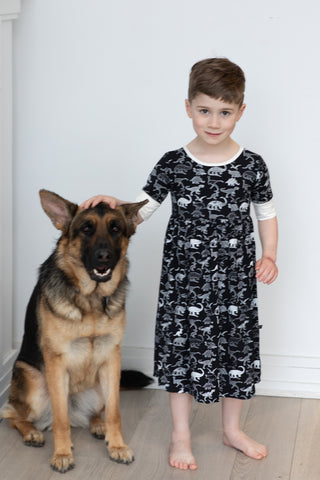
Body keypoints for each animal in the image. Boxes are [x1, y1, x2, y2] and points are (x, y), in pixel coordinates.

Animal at [0, 190, 147, 472]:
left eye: (115, 228)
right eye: (86, 229)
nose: (104, 256)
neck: (91, 298)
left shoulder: (112, 357)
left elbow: (115, 413)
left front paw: (117, 446)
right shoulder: (57, 362)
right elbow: (61, 421)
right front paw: (62, 453)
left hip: (101, 386)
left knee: (96, 413)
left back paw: (98, 425)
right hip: (34, 383)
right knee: (14, 415)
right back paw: (32, 432)